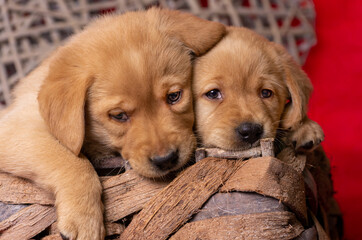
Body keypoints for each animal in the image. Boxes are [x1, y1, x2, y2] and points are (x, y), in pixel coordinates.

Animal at [0, 8, 225, 239]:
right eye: (119, 115)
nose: (166, 160)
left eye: (174, 96)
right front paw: (85, 218)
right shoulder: (16, 126)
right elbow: (72, 162)